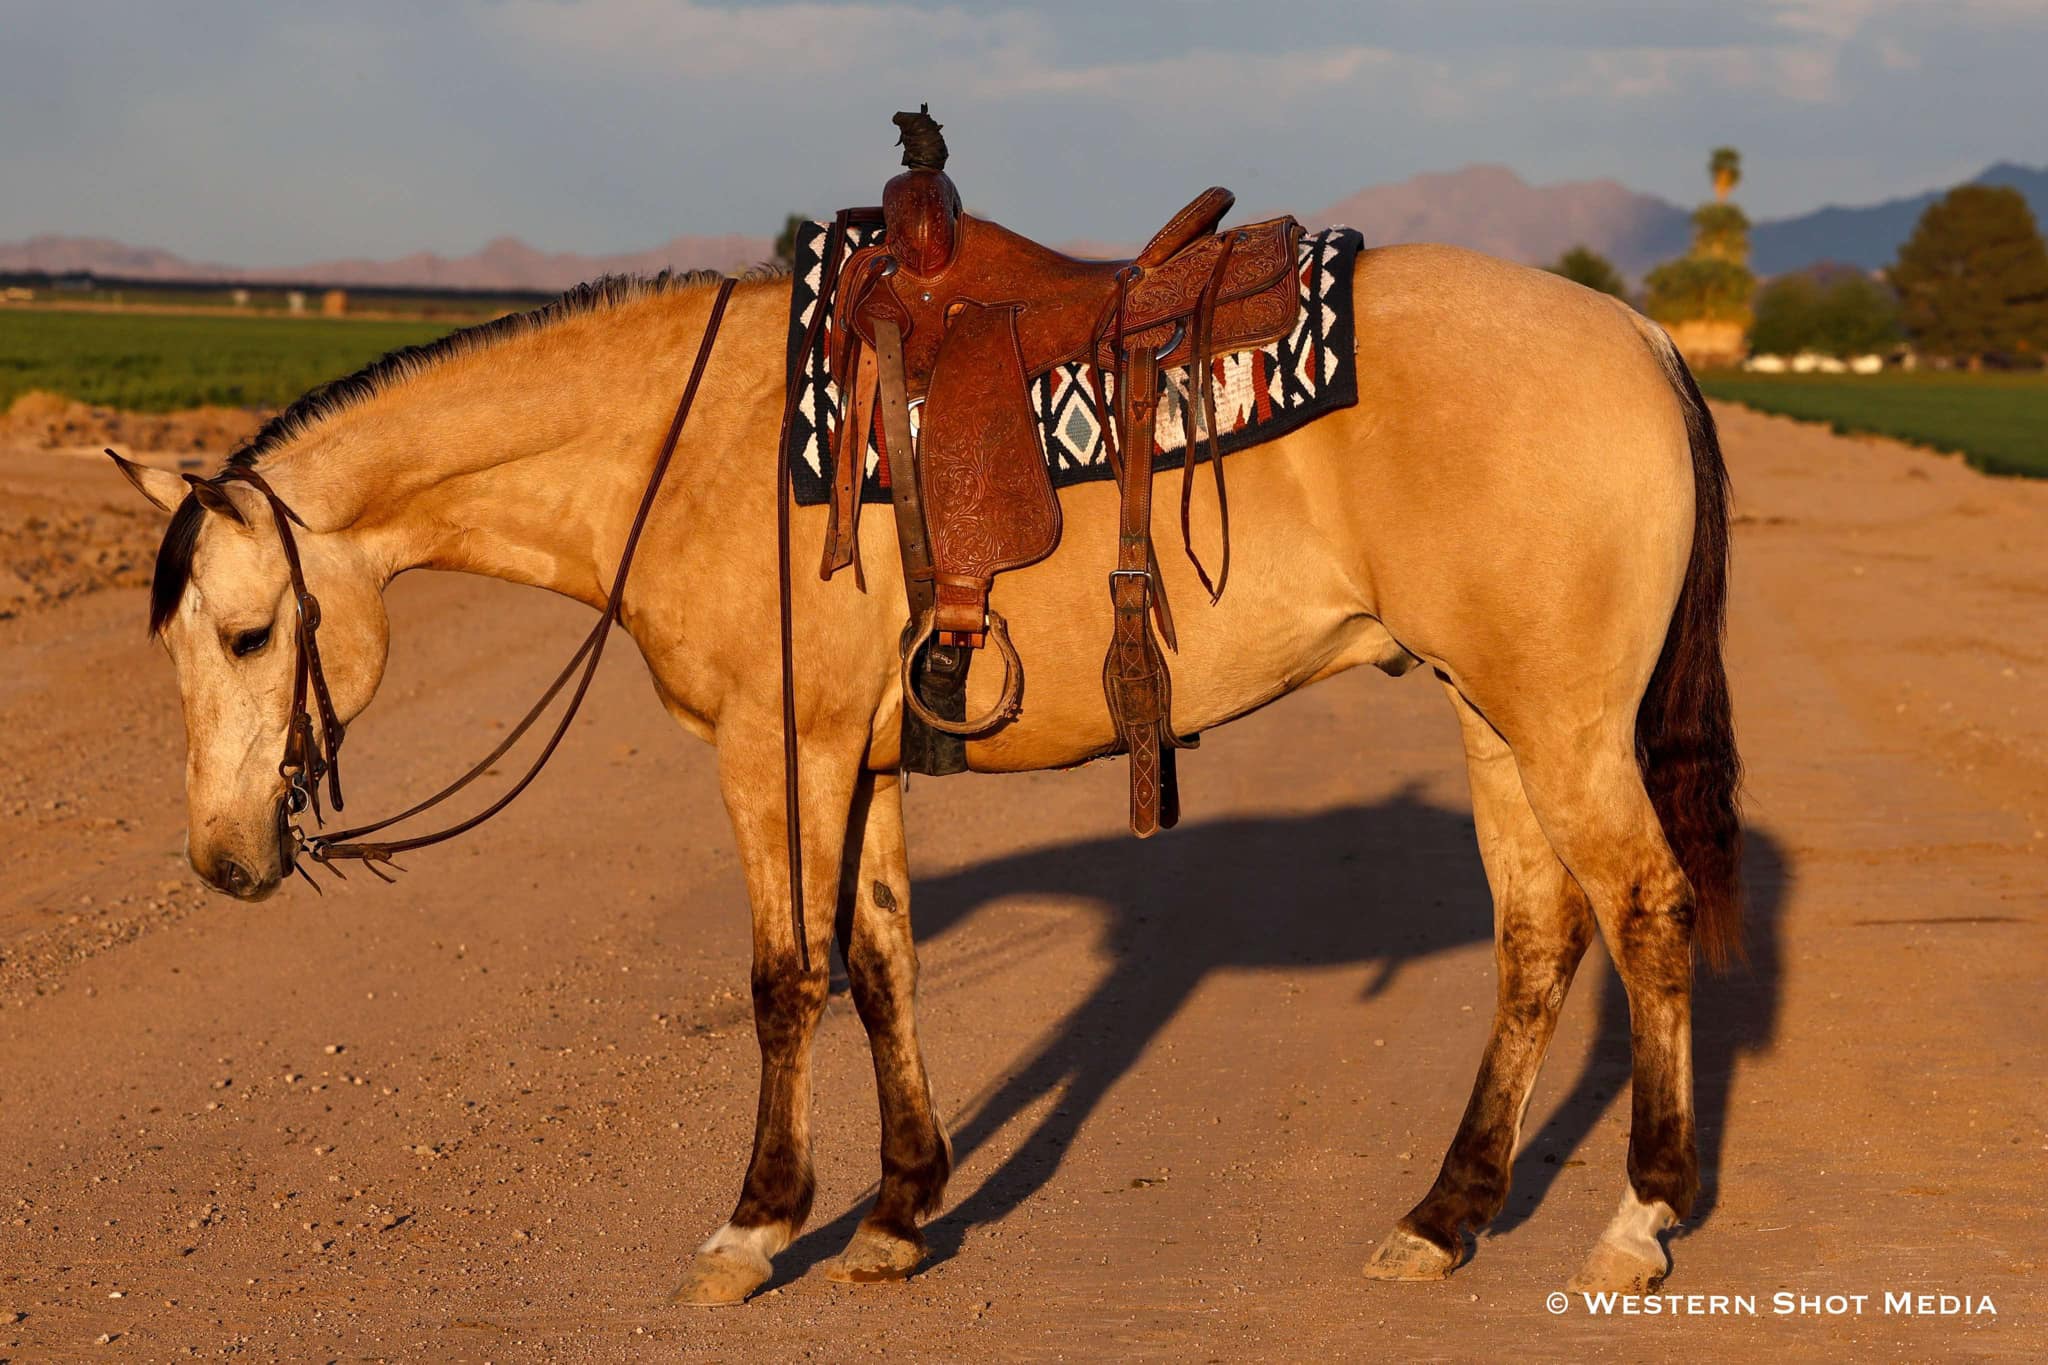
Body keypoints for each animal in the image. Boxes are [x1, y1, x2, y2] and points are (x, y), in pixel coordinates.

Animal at [111, 242, 1741, 1304]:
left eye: (250, 634)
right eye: (174, 646)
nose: (226, 858)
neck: (684, 452)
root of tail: (1644, 340)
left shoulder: (778, 754)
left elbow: (784, 977)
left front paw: (758, 1228)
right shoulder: (866, 758)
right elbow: (882, 963)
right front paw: (899, 1212)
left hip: (1565, 723)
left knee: (1646, 913)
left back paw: (1637, 1221)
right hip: (1494, 714)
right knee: (1537, 938)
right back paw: (1446, 1215)